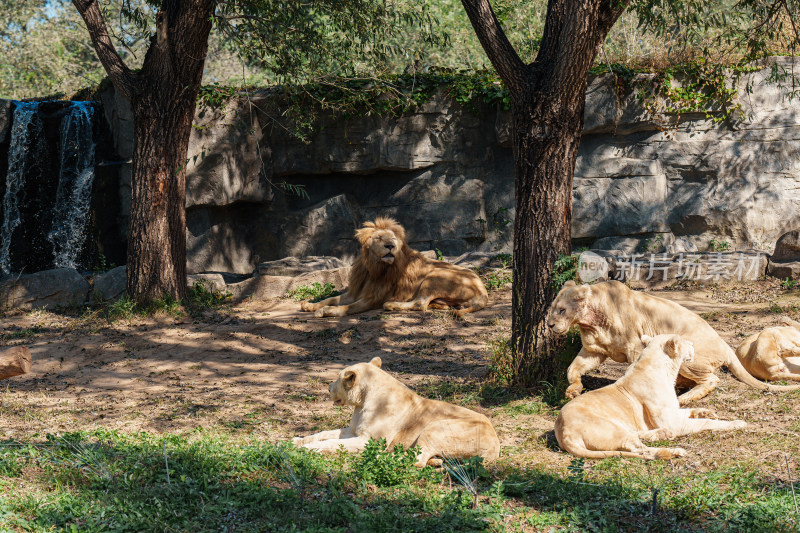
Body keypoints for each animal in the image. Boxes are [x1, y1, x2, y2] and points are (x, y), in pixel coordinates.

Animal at [288, 358, 500, 466]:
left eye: (337, 379)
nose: (328, 388)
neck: (362, 402)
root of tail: (496, 444)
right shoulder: (353, 431)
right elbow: (323, 433)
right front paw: (297, 441)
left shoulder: (368, 440)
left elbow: (332, 442)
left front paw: (309, 448)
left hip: (436, 427)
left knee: (417, 460)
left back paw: (380, 457)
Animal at [300, 216, 488, 316]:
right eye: (378, 238)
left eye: (393, 238)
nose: (390, 245)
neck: (373, 268)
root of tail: (483, 291)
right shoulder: (355, 292)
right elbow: (331, 299)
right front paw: (310, 305)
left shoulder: (372, 299)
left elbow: (347, 307)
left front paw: (326, 311)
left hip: (435, 275)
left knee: (420, 304)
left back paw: (392, 304)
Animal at [548, 280, 800, 402]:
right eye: (552, 308)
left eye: (561, 310)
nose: (549, 325)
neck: (591, 322)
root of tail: (727, 347)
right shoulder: (594, 350)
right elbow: (572, 369)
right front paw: (573, 391)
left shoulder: (635, 346)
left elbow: (632, 372)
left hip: (687, 355)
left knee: (712, 379)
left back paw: (685, 398)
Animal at [552, 334, 748, 460]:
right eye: (684, 341)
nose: (692, 343)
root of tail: (564, 431)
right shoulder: (672, 422)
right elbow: (707, 424)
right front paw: (736, 423)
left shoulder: (672, 414)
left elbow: (689, 409)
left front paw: (706, 411)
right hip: (612, 430)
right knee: (641, 450)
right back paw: (671, 452)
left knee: (637, 437)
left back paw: (661, 434)